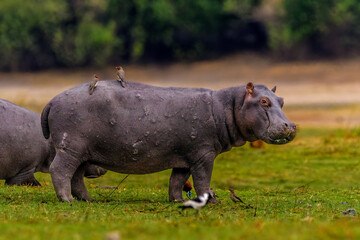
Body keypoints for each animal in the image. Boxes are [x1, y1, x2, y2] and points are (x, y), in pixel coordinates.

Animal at [41, 81, 296, 202]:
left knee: (76, 176)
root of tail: (51, 100)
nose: (290, 126)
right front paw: (212, 201)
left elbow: (177, 181)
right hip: (70, 147)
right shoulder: (204, 154)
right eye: (263, 101)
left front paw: (177, 201)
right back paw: (67, 200)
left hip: (82, 152)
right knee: (60, 170)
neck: (228, 105)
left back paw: (89, 200)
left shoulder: (184, 157)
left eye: (282, 100)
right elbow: (202, 179)